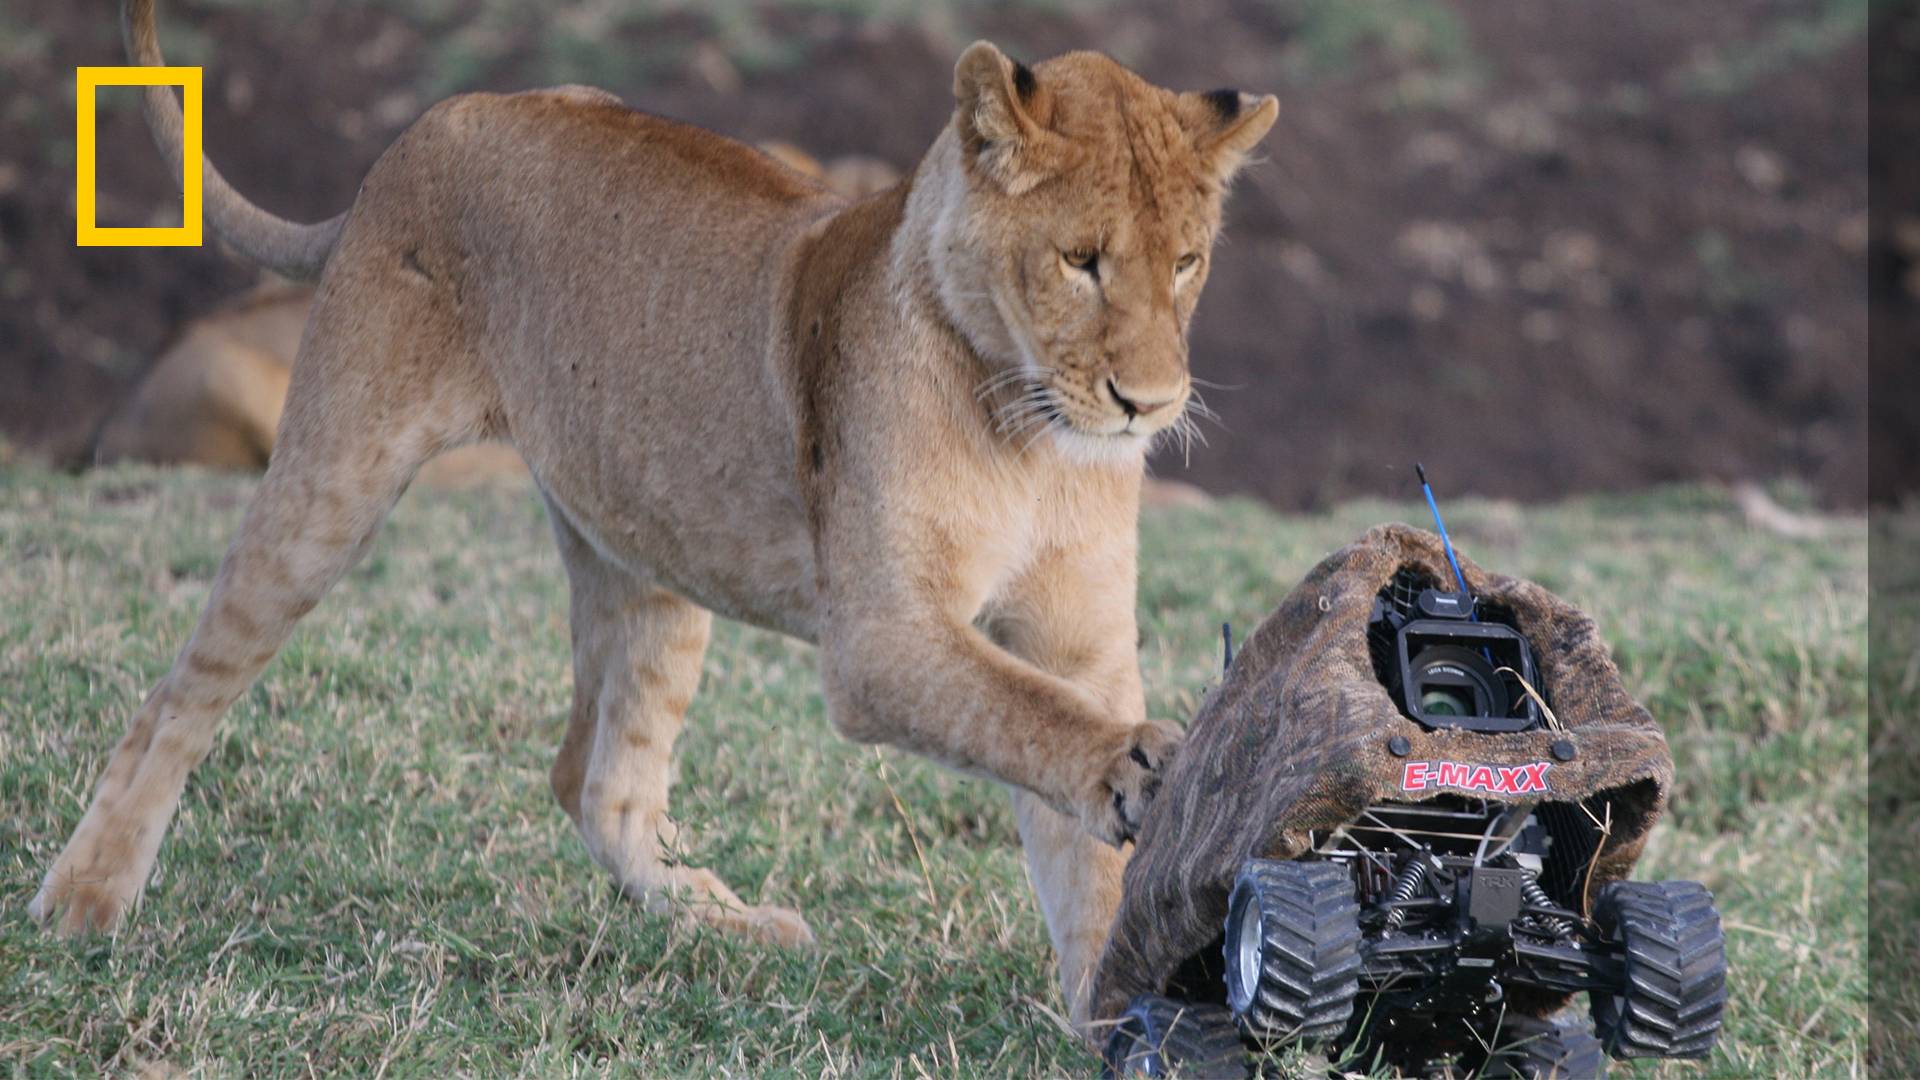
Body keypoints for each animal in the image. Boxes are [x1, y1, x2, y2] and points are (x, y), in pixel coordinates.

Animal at [33, 0, 1274, 1022]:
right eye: (1081, 260)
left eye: (1188, 262)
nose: (1151, 404)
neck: (1030, 433)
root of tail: (430, 126)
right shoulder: (877, 640)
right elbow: (1026, 714)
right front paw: (1137, 768)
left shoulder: (1079, 633)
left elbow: (1081, 859)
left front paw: (1114, 1011)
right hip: (335, 478)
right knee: (180, 690)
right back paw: (84, 899)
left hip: (647, 546)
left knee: (593, 776)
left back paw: (728, 924)